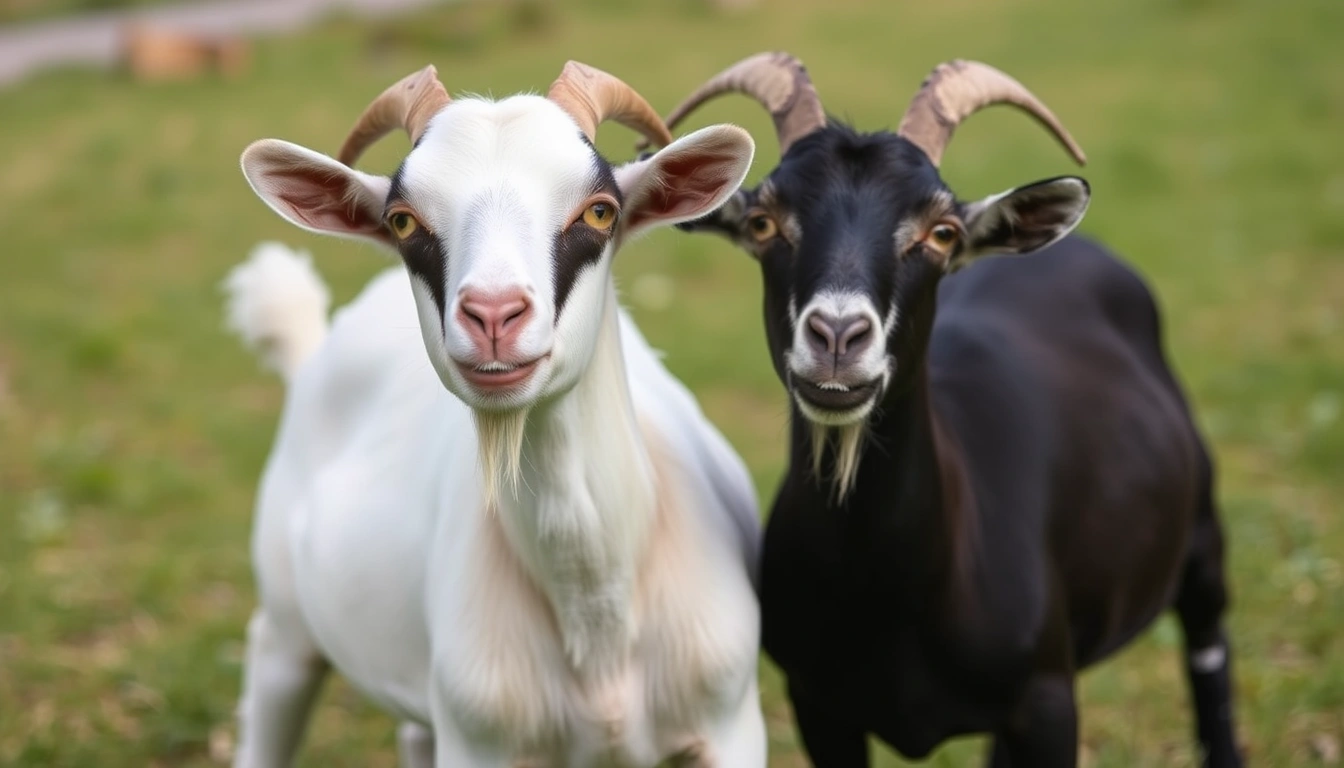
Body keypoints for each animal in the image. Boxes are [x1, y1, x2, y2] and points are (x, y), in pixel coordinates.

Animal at [225, 62, 766, 767]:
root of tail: (312, 344)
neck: (596, 614)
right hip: (286, 627)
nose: (493, 314)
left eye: (601, 210)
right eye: (402, 221)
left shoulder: (733, 726)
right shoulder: (480, 741)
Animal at [659, 53, 1243, 767]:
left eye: (942, 233)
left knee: (1209, 647)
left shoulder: (1047, 699)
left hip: (1202, 534)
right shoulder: (817, 704)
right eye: (764, 223)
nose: (837, 336)